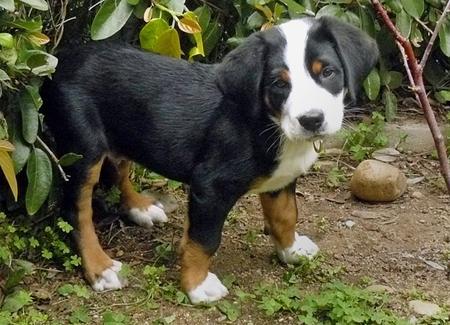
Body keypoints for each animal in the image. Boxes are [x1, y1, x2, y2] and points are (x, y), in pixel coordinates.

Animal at [42, 15, 378, 304]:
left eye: (328, 72)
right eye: (279, 83)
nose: (311, 120)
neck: (267, 123)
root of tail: (60, 61)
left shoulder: (280, 180)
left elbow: (285, 215)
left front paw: (291, 250)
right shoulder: (211, 187)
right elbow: (203, 240)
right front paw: (197, 286)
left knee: (119, 170)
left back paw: (140, 207)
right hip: (82, 148)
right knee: (77, 210)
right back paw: (100, 268)